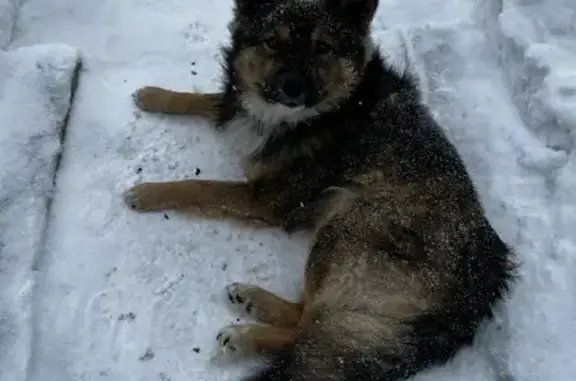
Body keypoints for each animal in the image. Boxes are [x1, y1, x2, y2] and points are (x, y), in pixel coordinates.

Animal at [122, 0, 516, 378]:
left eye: (323, 47)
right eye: (272, 41)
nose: (292, 88)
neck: (323, 111)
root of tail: (483, 280)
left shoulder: (267, 200)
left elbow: (200, 185)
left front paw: (148, 192)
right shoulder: (240, 109)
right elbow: (213, 99)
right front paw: (155, 95)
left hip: (346, 225)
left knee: (309, 328)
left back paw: (245, 333)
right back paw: (252, 301)